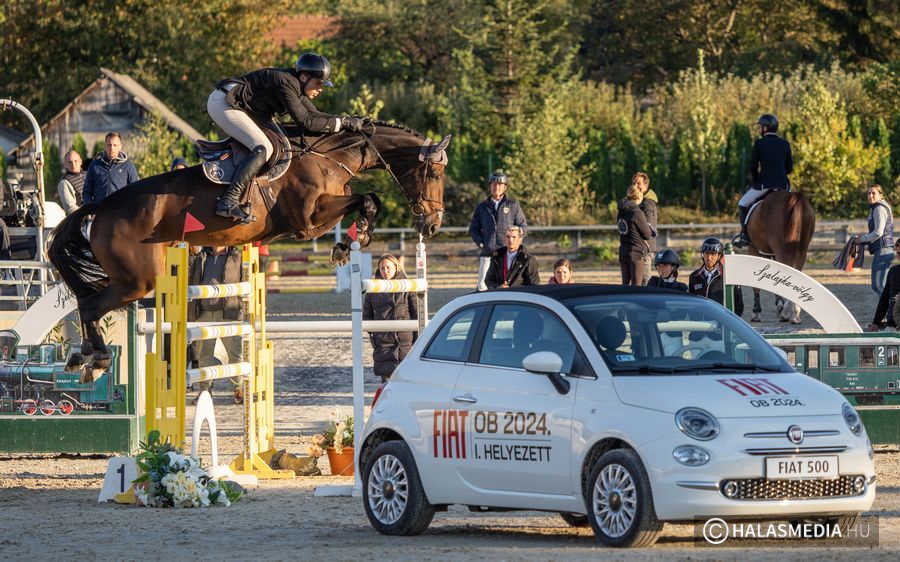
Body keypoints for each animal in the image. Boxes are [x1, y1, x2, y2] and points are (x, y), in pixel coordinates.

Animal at [47, 120, 450, 370]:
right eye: (433, 172)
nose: (431, 224)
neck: (330, 158)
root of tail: (100, 207)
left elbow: (366, 202)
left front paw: (352, 241)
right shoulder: (309, 219)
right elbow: (366, 200)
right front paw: (354, 239)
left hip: (143, 275)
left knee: (87, 302)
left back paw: (83, 356)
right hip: (137, 280)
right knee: (90, 305)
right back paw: (96, 360)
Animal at [744, 188, 816, 322]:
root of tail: (795, 197)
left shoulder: (753, 249)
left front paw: (756, 312)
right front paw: (779, 304)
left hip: (781, 248)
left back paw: (786, 312)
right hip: (802, 249)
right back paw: (795, 313)